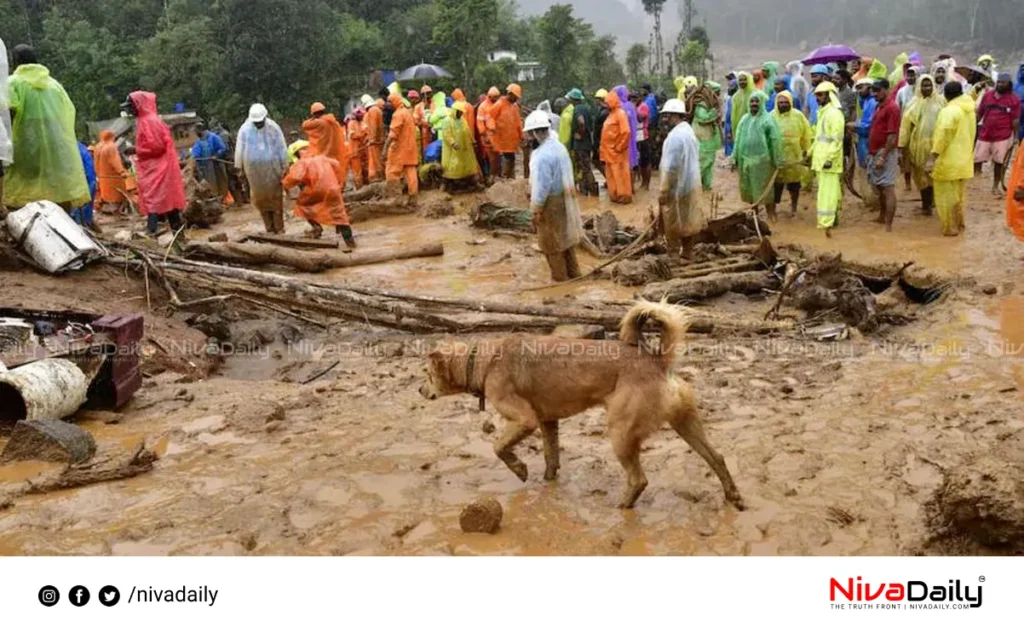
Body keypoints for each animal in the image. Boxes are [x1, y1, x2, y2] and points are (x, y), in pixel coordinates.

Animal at [417, 299, 745, 510]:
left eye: (426, 374)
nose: (419, 390)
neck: (482, 362)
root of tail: (657, 361)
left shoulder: (525, 420)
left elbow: (499, 447)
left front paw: (520, 469)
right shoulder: (547, 422)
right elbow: (551, 457)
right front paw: (547, 483)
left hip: (621, 432)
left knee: (639, 479)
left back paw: (623, 506)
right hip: (685, 423)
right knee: (717, 457)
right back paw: (733, 496)